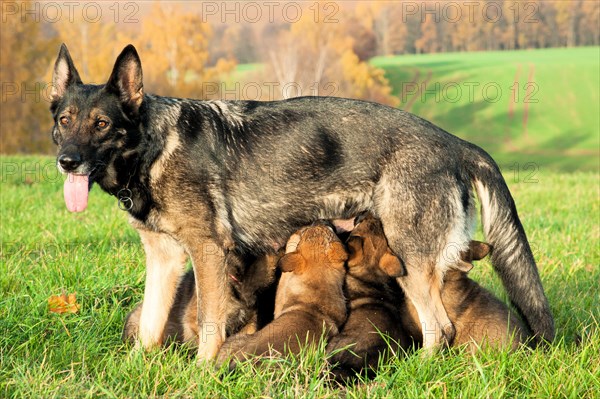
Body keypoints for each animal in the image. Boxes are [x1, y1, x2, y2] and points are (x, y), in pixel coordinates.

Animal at [326, 214, 410, 380]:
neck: (370, 274)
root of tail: (359, 368)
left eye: (360, 223)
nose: (366, 212)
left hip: (333, 345)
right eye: (378, 227)